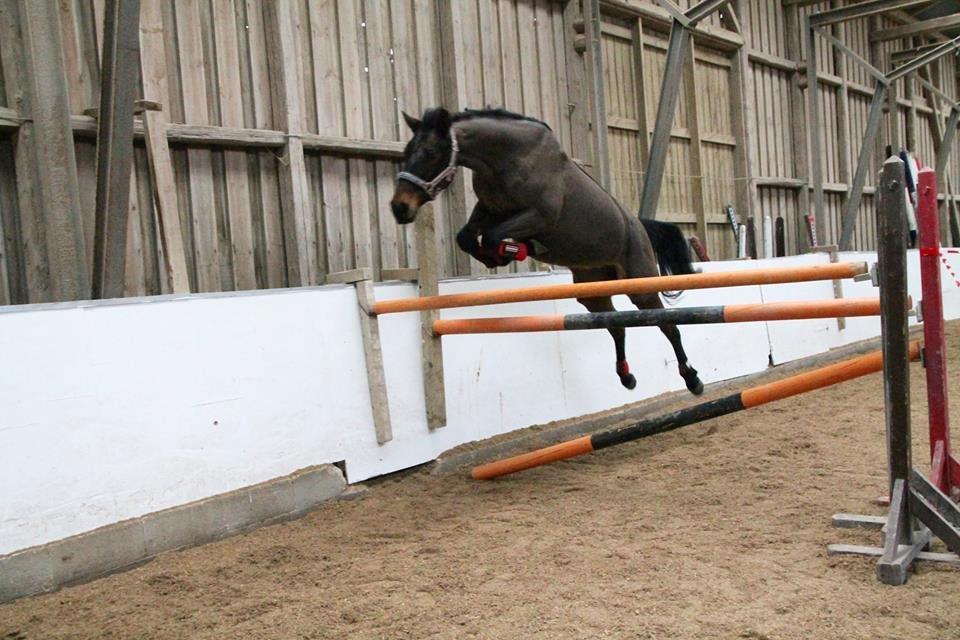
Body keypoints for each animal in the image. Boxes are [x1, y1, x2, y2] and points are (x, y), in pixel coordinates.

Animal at [390, 106, 704, 396]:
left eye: (431, 152)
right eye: (407, 150)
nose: (399, 207)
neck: (505, 159)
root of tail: (638, 225)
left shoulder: (540, 217)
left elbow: (492, 236)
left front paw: (509, 251)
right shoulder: (489, 209)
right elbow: (466, 237)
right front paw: (498, 254)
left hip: (640, 285)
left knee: (666, 325)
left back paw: (692, 378)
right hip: (592, 291)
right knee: (616, 325)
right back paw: (626, 376)